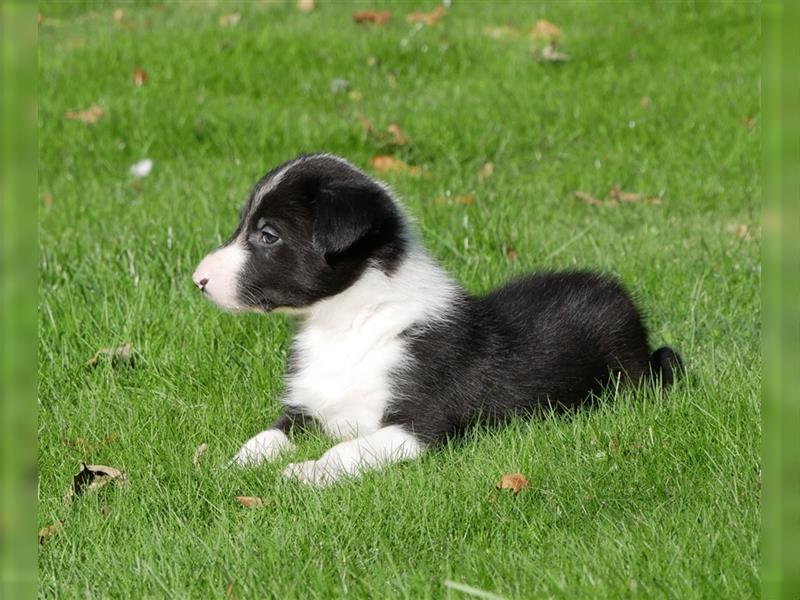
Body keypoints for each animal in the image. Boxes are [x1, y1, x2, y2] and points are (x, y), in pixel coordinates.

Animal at [192, 152, 680, 486]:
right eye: (244, 224)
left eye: (268, 235)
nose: (197, 279)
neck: (346, 324)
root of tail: (614, 290)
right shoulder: (307, 410)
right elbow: (264, 437)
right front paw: (228, 465)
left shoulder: (420, 425)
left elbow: (347, 450)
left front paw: (307, 472)